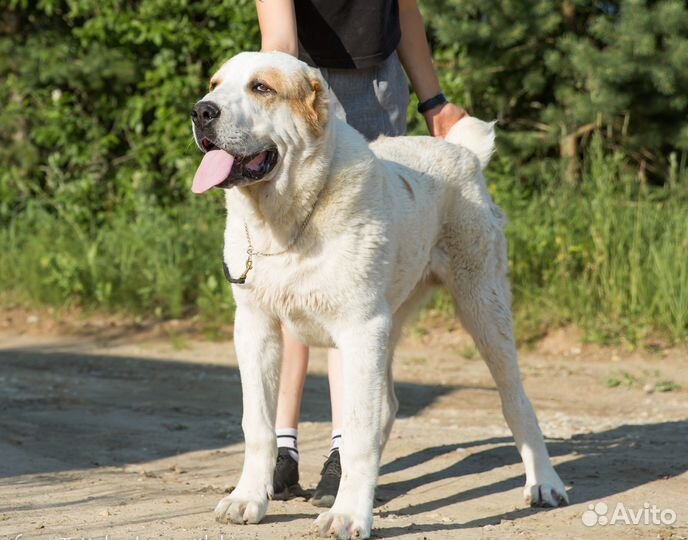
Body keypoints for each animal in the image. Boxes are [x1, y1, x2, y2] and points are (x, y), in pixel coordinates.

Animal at [191, 51, 568, 540]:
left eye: (261, 88)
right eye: (215, 85)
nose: (201, 112)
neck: (289, 222)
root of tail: (462, 153)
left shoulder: (360, 330)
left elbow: (357, 434)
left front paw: (349, 514)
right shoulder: (256, 327)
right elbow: (257, 424)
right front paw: (249, 499)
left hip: (482, 307)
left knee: (515, 401)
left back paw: (544, 482)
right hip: (393, 321)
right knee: (386, 406)